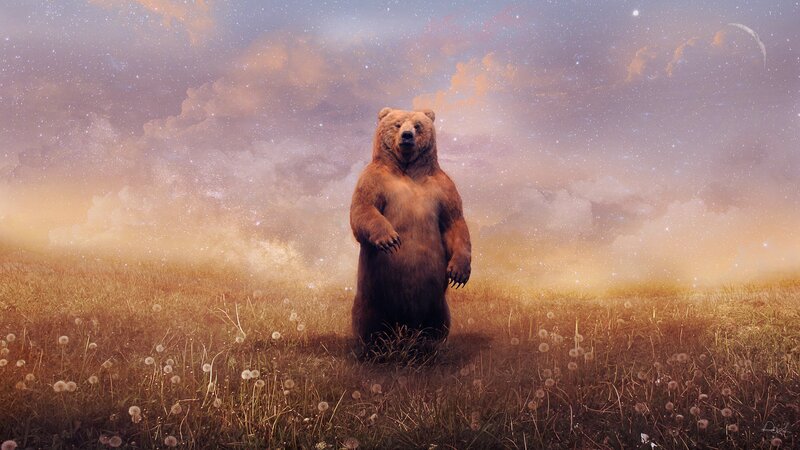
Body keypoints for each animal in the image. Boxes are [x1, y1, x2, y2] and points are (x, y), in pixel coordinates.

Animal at [349, 107, 472, 349]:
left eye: (417, 125)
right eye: (397, 124)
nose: (407, 136)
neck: (407, 169)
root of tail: (404, 327)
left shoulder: (443, 187)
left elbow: (454, 222)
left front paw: (458, 272)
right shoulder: (374, 179)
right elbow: (363, 209)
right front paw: (390, 239)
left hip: (436, 303)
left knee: (437, 324)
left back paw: (428, 347)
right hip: (372, 297)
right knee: (368, 322)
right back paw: (372, 348)